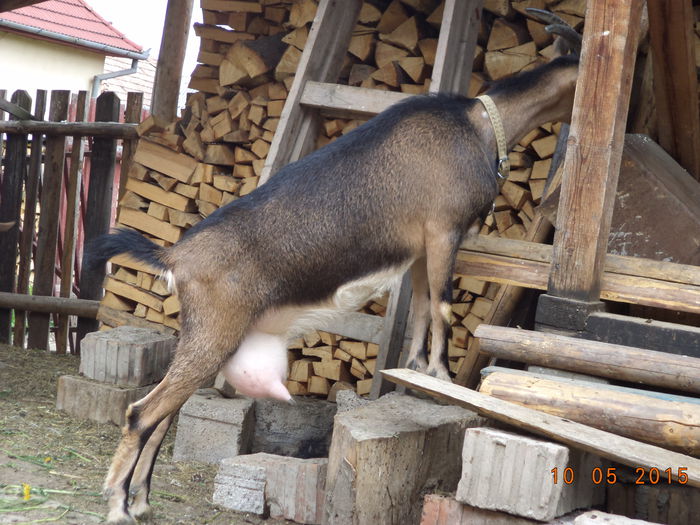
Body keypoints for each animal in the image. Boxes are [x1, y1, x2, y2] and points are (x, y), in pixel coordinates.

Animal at [89, 11, 580, 520]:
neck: (478, 124)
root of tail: (175, 256)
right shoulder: (444, 229)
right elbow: (444, 306)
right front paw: (442, 377)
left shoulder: (422, 246)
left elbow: (422, 309)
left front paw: (415, 373)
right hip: (214, 331)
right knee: (142, 413)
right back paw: (119, 505)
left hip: (206, 336)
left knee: (164, 414)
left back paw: (142, 501)